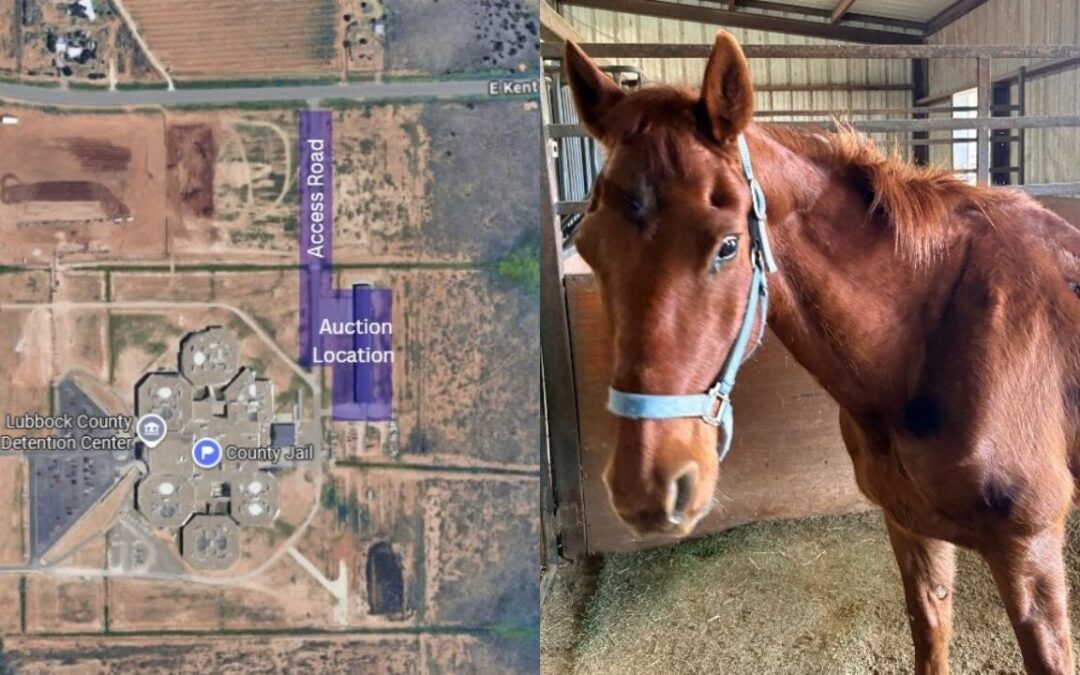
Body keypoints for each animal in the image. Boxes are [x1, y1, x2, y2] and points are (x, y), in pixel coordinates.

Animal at [564, 31, 1080, 675]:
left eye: (727, 245)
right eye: (588, 245)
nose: (647, 487)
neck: (934, 338)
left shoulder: (1028, 552)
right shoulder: (912, 528)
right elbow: (930, 636)